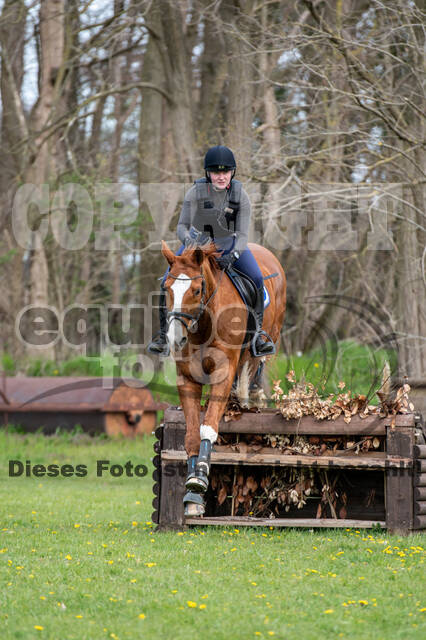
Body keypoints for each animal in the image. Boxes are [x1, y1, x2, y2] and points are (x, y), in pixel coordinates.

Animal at [160, 240, 286, 516]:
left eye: (196, 290)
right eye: (167, 289)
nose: (175, 339)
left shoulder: (224, 372)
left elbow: (208, 426)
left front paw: (200, 477)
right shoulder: (187, 377)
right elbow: (192, 433)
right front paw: (192, 494)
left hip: (264, 345)